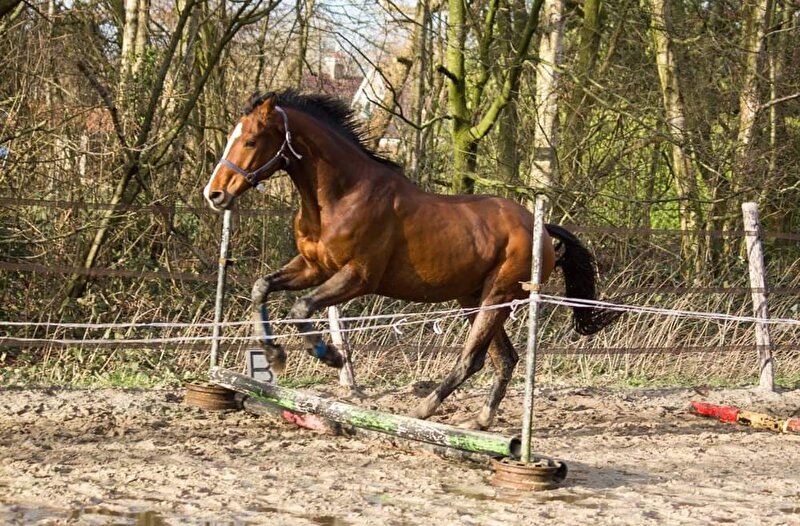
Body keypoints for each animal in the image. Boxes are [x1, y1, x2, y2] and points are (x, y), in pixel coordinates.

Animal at [205, 89, 620, 428]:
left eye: (251, 141)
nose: (214, 194)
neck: (340, 196)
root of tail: (541, 229)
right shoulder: (314, 267)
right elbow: (262, 288)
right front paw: (272, 353)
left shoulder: (357, 277)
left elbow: (300, 308)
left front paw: (330, 356)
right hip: (474, 298)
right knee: (505, 359)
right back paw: (480, 420)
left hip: (497, 297)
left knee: (474, 359)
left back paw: (425, 409)